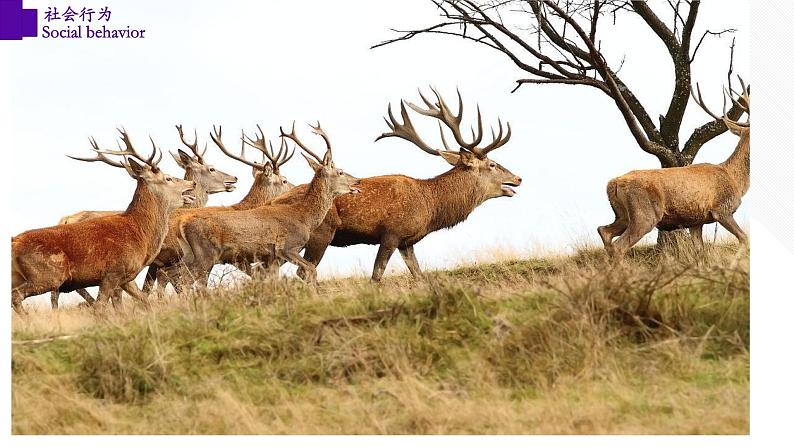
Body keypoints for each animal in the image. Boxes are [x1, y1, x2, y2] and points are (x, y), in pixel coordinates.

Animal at [12, 131, 193, 314]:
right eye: (168, 178)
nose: (192, 183)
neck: (140, 233)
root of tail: (14, 243)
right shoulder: (112, 272)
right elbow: (100, 307)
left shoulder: (126, 277)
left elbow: (144, 300)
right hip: (48, 274)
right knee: (16, 296)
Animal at [174, 123, 358, 288]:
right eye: (340, 172)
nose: (357, 182)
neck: (304, 217)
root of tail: (181, 223)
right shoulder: (286, 247)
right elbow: (311, 269)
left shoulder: (271, 258)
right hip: (206, 253)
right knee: (185, 280)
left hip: (189, 254)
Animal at [270, 89, 520, 282]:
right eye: (492, 164)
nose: (518, 178)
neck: (430, 206)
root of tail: (272, 201)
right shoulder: (391, 233)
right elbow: (377, 274)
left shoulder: (406, 242)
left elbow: (418, 274)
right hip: (320, 234)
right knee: (303, 272)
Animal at [592, 78, 748, 260]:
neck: (735, 179)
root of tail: (613, 183)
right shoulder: (722, 209)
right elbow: (744, 238)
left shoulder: (697, 221)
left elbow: (700, 252)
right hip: (644, 214)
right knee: (619, 245)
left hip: (623, 215)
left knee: (604, 231)